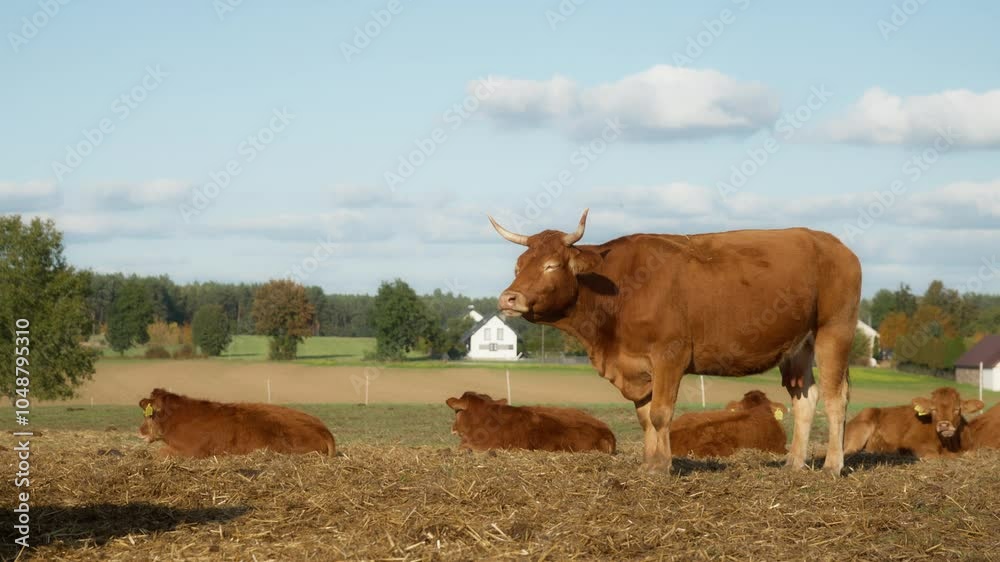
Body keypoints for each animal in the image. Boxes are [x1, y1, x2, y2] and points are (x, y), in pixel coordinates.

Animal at [489, 209, 861, 474]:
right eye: (519, 265)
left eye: (551, 265)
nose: (508, 298)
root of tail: (831, 243)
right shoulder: (636, 364)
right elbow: (644, 417)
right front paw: (648, 464)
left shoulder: (670, 355)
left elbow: (660, 413)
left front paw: (662, 466)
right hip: (800, 346)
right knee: (806, 399)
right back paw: (794, 464)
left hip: (835, 331)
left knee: (835, 398)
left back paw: (832, 466)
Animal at [843, 387, 983, 458]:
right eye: (933, 409)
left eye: (957, 409)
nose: (944, 425)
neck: (948, 445)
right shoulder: (910, 442)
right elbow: (933, 456)